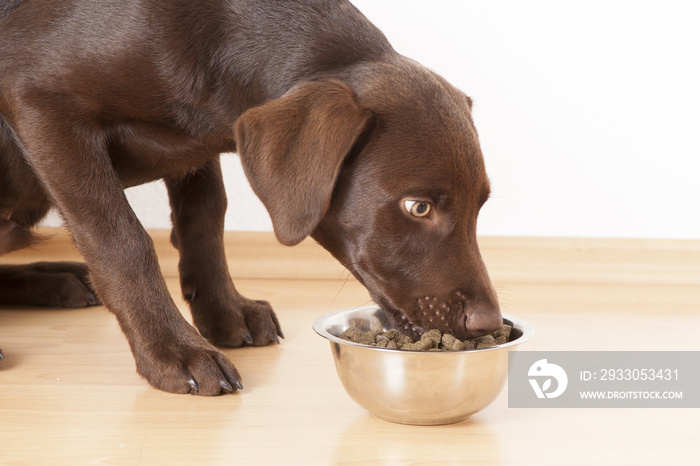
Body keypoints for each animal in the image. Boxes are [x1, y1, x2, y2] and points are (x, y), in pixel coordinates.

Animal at [1, 0, 504, 394]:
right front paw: (173, 350)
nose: (488, 324)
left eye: (480, 207)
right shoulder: (42, 102)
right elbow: (122, 239)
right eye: (418, 207)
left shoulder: (197, 141)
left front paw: (225, 312)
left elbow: (206, 216)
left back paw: (62, 278)